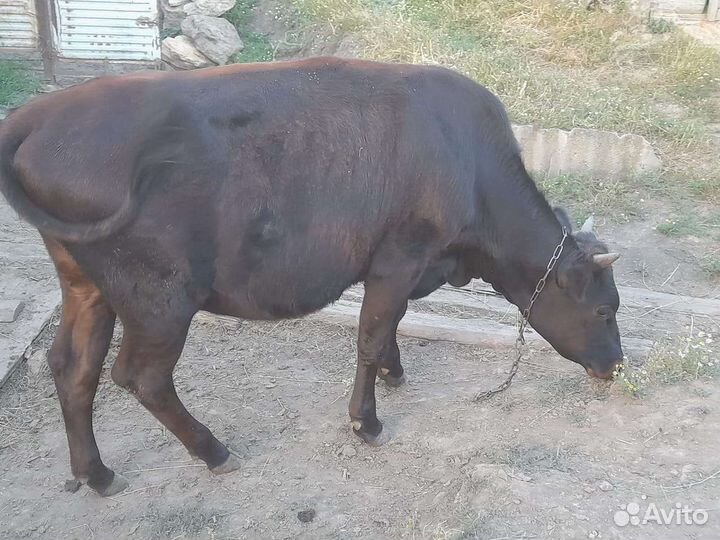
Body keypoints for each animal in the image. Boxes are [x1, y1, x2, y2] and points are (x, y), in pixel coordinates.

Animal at [0, 57, 623, 497]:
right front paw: (366, 422)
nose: (615, 365)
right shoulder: (400, 258)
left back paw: (97, 474)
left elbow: (391, 326)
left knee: (72, 367)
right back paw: (213, 451)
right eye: (603, 309)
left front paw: (395, 373)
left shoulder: (399, 267)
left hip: (87, 286)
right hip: (158, 298)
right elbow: (371, 335)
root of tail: (40, 114)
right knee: (140, 377)